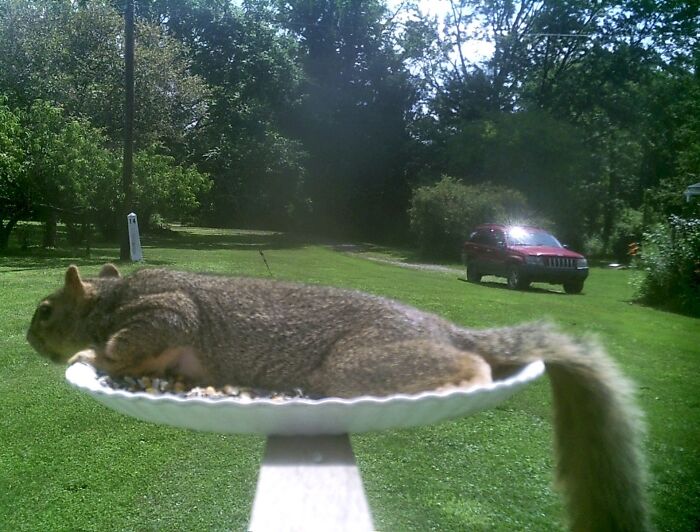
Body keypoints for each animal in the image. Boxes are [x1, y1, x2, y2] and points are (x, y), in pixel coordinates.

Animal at [27, 264, 649, 532]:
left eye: (46, 311)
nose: (31, 342)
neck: (112, 299)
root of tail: (449, 329)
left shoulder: (163, 312)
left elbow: (130, 343)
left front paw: (91, 356)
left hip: (359, 364)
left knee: (467, 365)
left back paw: (470, 374)